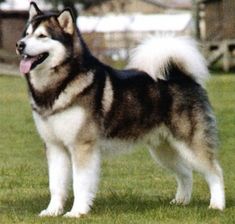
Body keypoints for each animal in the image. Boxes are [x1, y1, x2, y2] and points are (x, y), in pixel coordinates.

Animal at [15, 1, 225, 218]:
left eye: (42, 36)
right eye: (27, 33)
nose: (19, 45)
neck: (59, 84)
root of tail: (182, 77)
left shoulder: (82, 146)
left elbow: (80, 183)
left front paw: (77, 212)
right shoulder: (55, 146)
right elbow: (55, 184)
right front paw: (52, 211)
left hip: (190, 145)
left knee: (215, 172)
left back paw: (217, 204)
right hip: (164, 150)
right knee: (186, 173)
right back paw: (181, 201)